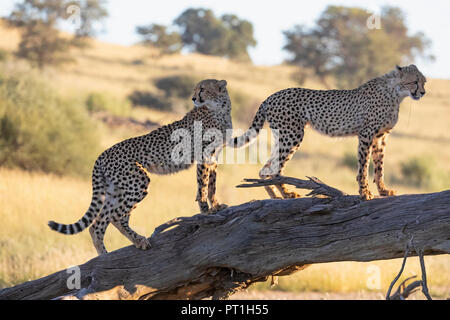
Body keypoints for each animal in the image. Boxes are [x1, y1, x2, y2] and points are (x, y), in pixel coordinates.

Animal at [49, 79, 232, 255]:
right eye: (196, 89)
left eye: (202, 89)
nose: (193, 99)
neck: (219, 108)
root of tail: (102, 154)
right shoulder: (204, 155)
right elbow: (203, 186)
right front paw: (206, 212)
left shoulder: (213, 156)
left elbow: (212, 184)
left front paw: (216, 206)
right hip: (138, 182)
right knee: (116, 217)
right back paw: (139, 241)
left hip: (115, 190)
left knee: (98, 223)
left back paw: (104, 254)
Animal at [232, 64, 426, 200]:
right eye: (414, 81)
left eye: (424, 81)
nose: (423, 92)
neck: (396, 93)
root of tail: (270, 97)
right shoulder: (366, 134)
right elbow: (363, 166)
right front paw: (365, 193)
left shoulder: (381, 137)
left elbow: (379, 166)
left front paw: (384, 190)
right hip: (292, 135)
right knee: (275, 168)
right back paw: (287, 194)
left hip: (284, 136)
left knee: (265, 169)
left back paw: (275, 196)